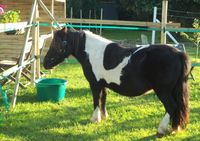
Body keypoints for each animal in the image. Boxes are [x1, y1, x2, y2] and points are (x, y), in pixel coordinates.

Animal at [43, 27, 191, 137]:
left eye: (56, 43)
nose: (45, 63)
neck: (93, 52)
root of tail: (178, 53)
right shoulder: (103, 85)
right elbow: (103, 99)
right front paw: (104, 117)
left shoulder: (95, 84)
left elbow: (96, 100)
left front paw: (95, 119)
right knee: (177, 108)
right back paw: (174, 128)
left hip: (163, 91)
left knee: (171, 106)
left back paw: (161, 129)